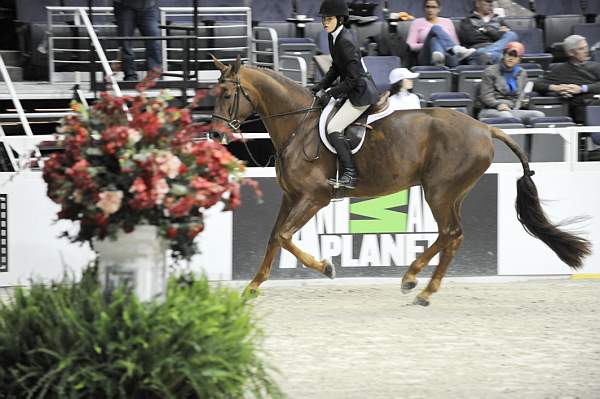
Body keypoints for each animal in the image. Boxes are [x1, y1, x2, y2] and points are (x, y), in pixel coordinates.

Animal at [210, 55, 592, 306]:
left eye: (227, 94)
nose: (214, 134)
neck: (297, 127)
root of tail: (485, 128)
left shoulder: (315, 197)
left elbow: (285, 237)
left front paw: (327, 267)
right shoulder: (291, 196)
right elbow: (275, 237)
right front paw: (253, 287)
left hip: (439, 191)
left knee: (449, 233)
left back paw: (418, 284)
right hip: (450, 193)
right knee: (452, 235)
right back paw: (418, 283)